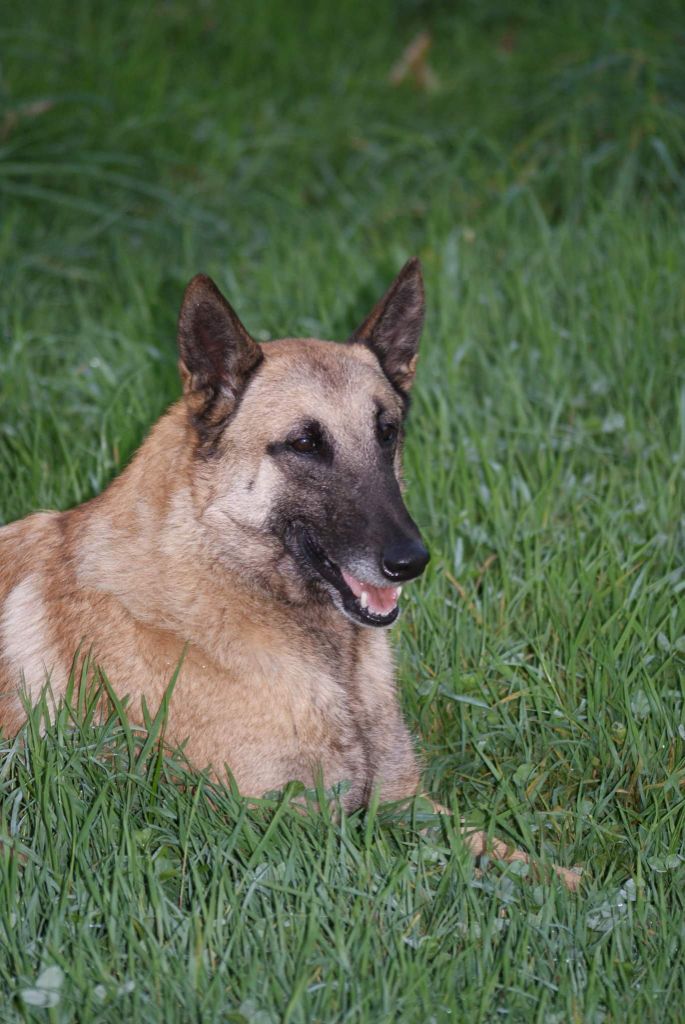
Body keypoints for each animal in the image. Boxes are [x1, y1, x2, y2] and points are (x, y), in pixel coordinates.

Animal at [0, 262, 581, 888]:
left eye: (387, 432)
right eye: (305, 443)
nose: (411, 561)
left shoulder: (407, 802)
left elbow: (517, 858)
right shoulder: (289, 831)